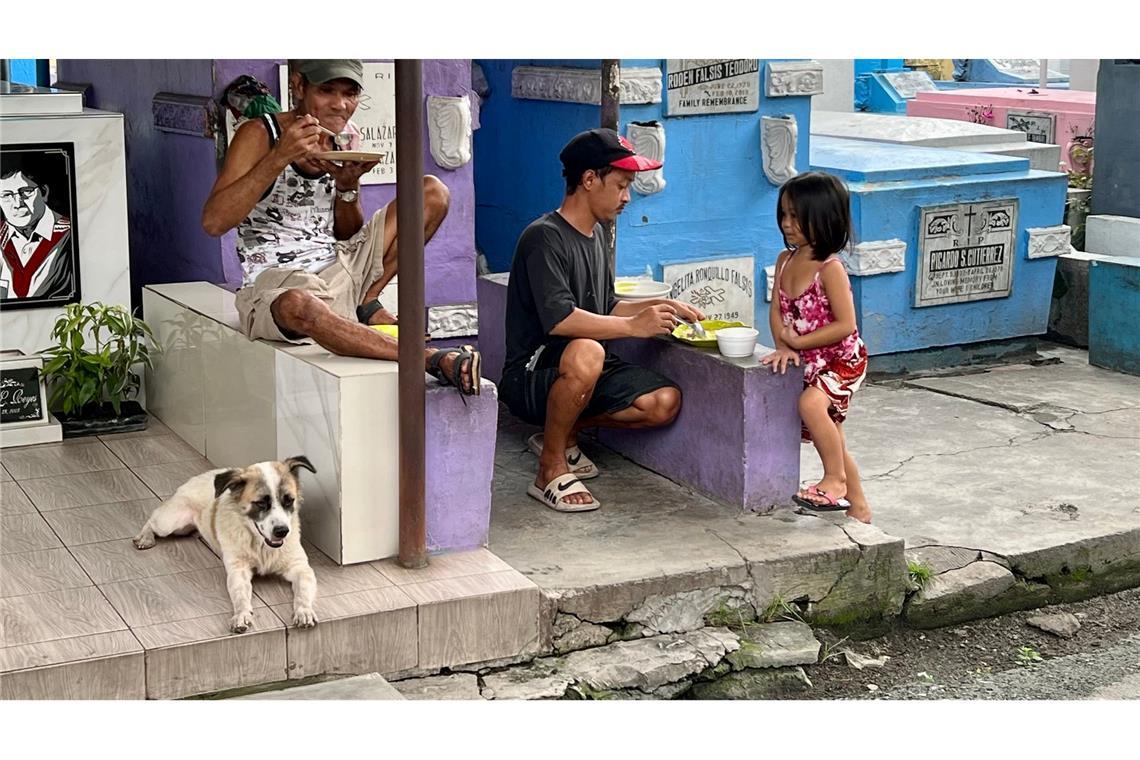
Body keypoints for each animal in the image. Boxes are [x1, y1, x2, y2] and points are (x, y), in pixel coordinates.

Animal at [133, 455, 321, 633]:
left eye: (289, 500)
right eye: (261, 503)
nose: (282, 531)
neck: (261, 546)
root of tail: (200, 476)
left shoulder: (301, 569)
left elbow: (303, 593)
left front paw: (304, 611)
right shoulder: (238, 571)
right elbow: (240, 596)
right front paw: (242, 615)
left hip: (182, 528)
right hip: (170, 523)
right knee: (152, 519)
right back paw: (144, 537)